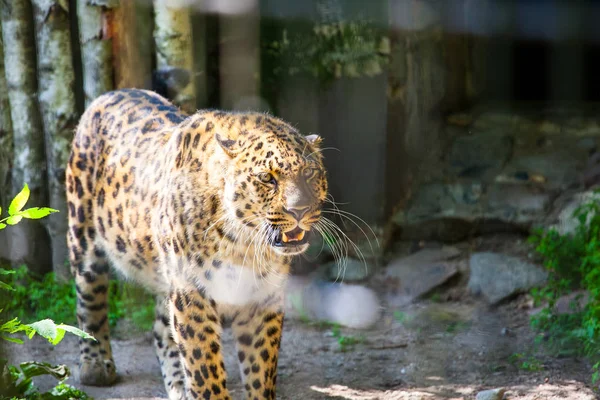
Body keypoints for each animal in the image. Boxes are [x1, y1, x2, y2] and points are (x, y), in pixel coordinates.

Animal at [64, 88, 328, 400]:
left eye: (309, 173)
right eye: (267, 178)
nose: (299, 210)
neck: (243, 244)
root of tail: (110, 94)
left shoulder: (263, 295)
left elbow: (261, 367)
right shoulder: (192, 293)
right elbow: (204, 365)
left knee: (160, 330)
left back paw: (178, 386)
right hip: (84, 239)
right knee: (89, 301)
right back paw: (95, 366)